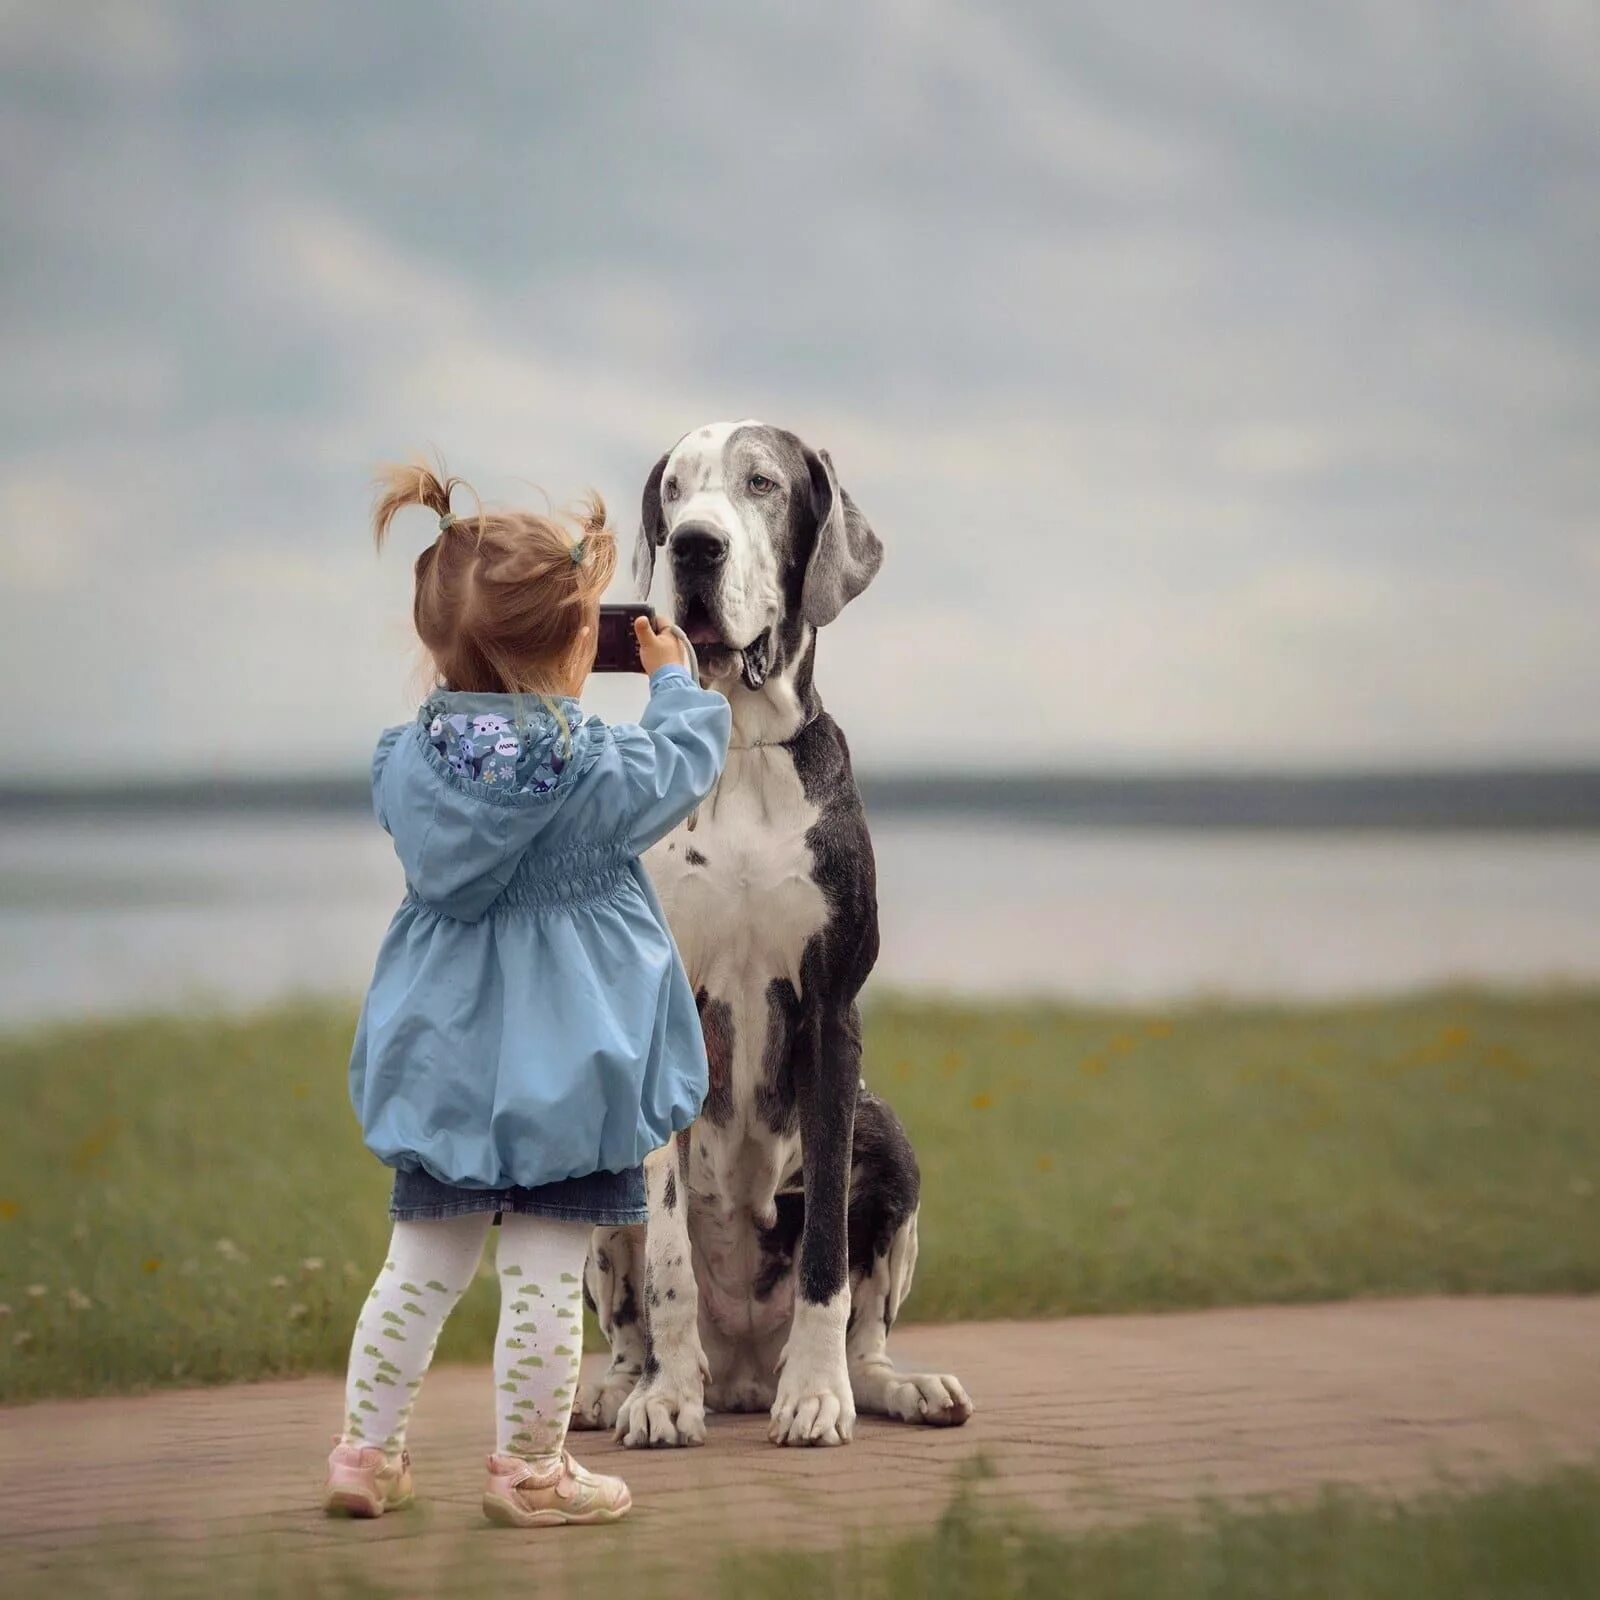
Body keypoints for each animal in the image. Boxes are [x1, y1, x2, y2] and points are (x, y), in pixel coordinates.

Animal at [576, 419, 972, 1446]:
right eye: (674, 492)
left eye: (762, 484)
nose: (694, 547)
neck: (744, 749)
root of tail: (746, 1371)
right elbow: (668, 1258)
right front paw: (664, 1398)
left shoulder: (833, 1016)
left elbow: (827, 1247)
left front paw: (820, 1395)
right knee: (627, 1313)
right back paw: (617, 1389)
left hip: (891, 1142)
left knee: (864, 1319)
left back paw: (887, 1385)